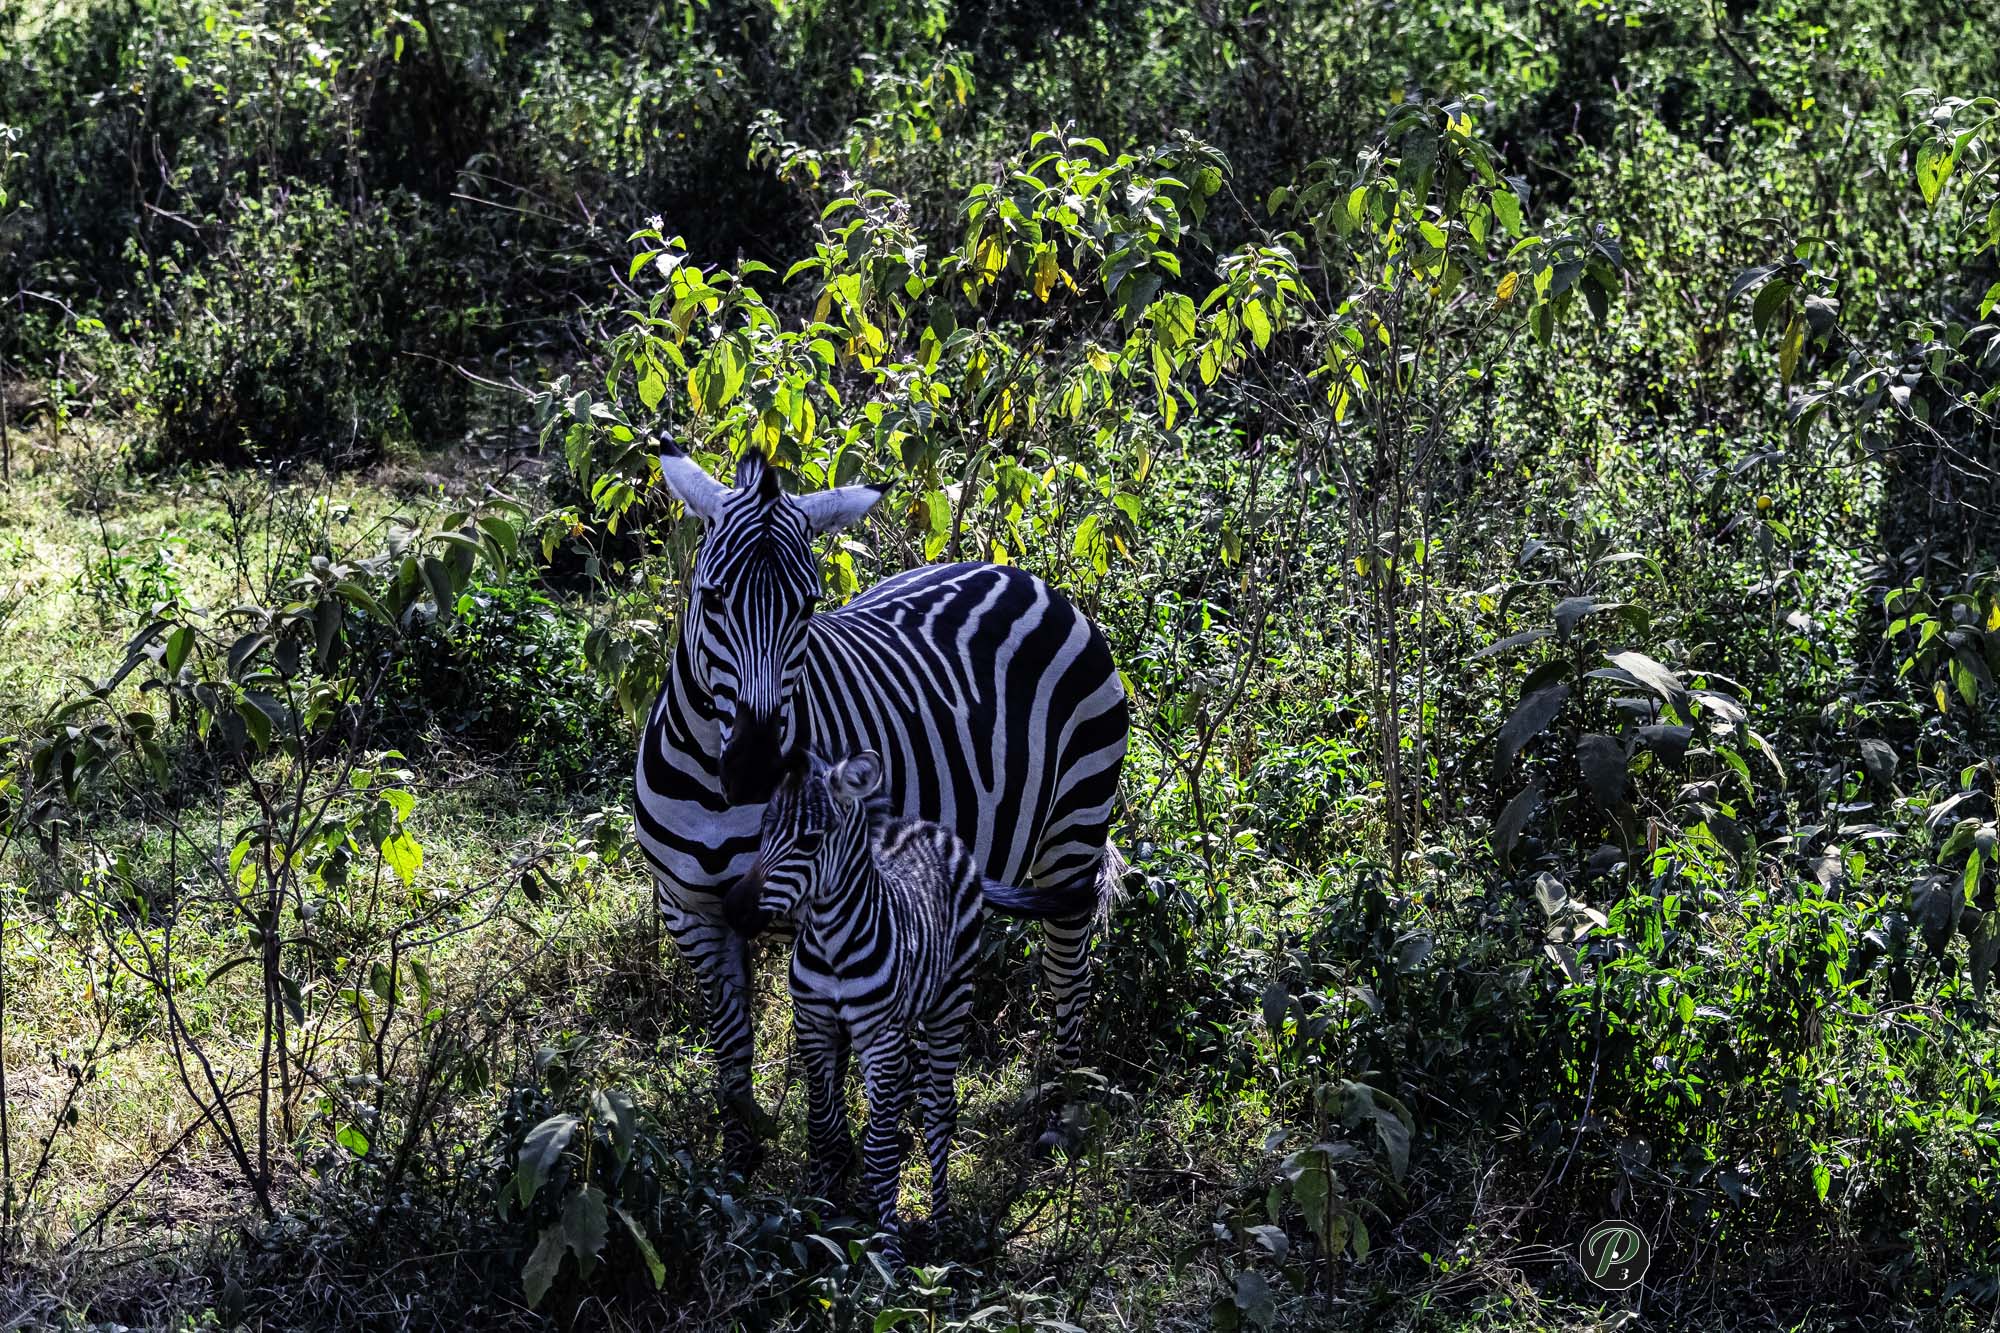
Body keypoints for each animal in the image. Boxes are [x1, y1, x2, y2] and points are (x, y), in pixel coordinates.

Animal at [637, 440, 1129, 1170]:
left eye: (808, 607)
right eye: (713, 598)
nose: (756, 767)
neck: (714, 791)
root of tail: (1022, 576)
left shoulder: (824, 912)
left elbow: (823, 1055)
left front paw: (832, 1165)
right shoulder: (690, 911)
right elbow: (731, 1045)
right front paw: (739, 1158)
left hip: (1075, 827)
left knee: (1069, 973)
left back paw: (1063, 1113)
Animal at [721, 746, 988, 1265]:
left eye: (810, 841)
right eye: (763, 830)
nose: (734, 912)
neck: (830, 942)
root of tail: (927, 825)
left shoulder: (879, 1037)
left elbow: (881, 1151)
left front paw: (888, 1248)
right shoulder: (813, 1024)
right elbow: (822, 1124)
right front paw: (814, 1209)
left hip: (950, 1000)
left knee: (939, 1109)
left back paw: (942, 1224)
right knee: (905, 1092)